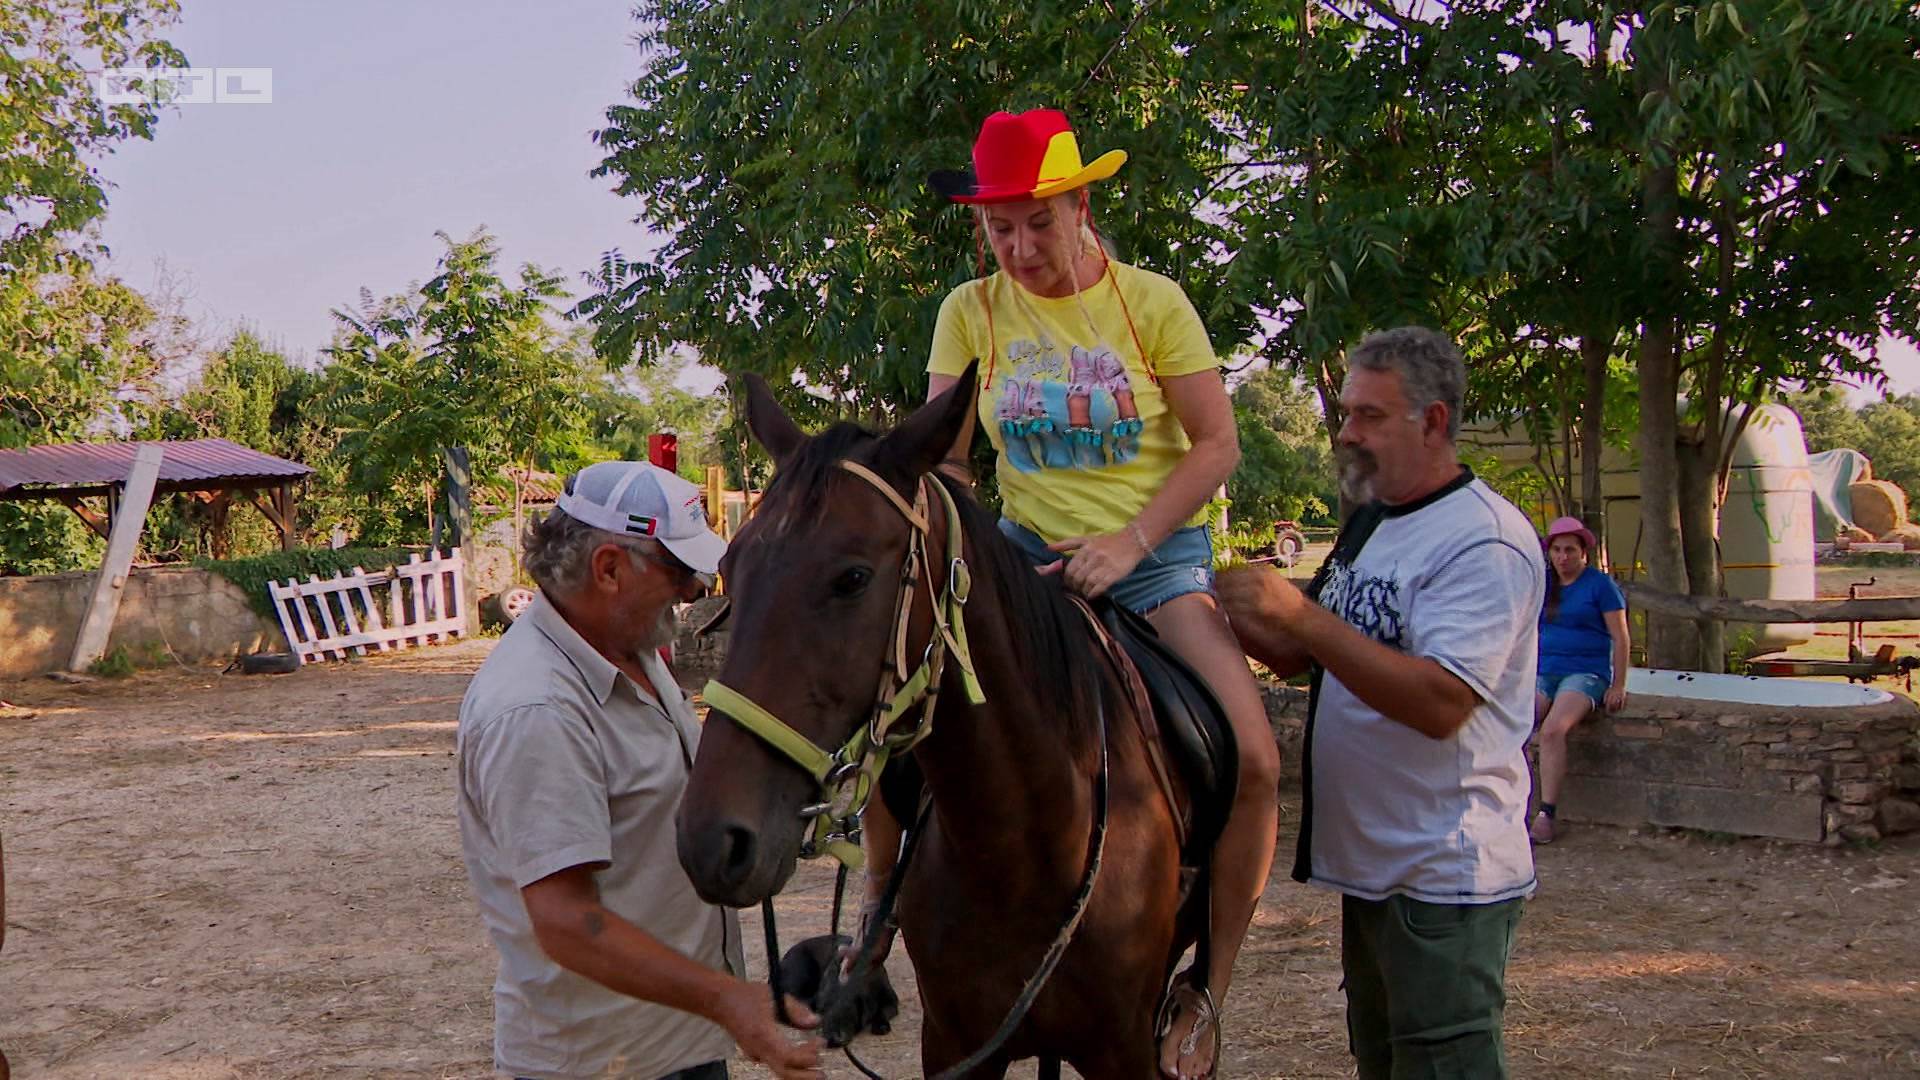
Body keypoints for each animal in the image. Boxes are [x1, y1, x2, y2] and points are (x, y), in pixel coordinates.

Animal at [668, 365, 1190, 1068]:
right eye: (729, 567)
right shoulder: (953, 1043)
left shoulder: (1126, 1046)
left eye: (854, 577)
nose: (711, 840)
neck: (1025, 851)